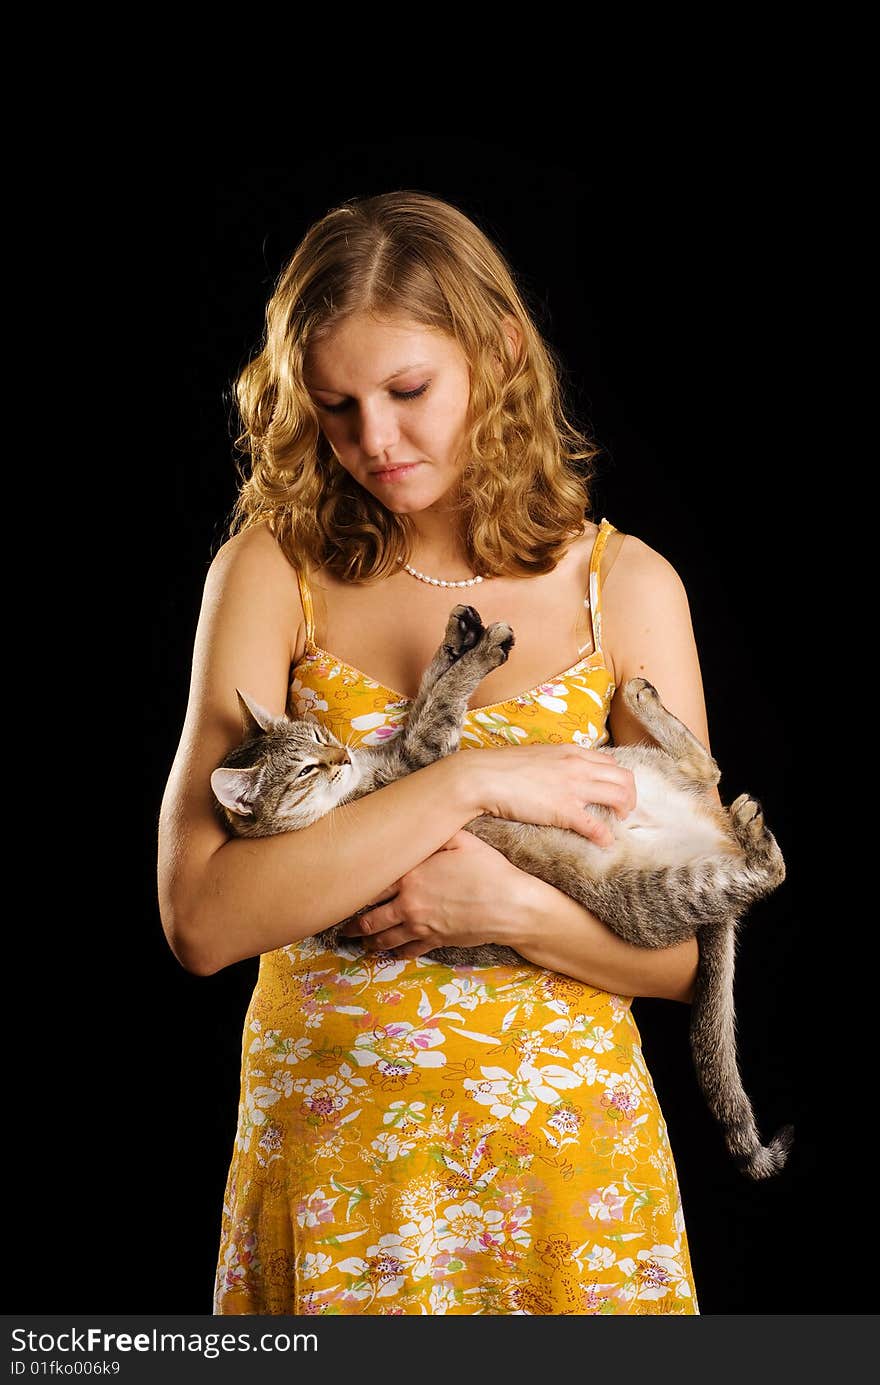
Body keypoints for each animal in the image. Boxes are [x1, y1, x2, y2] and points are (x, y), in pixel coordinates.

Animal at [212, 601, 792, 1174]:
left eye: (319, 739)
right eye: (306, 771)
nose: (341, 757)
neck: (353, 790)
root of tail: (714, 831)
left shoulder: (411, 747)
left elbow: (431, 688)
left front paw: (457, 636)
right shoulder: (423, 759)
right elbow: (443, 700)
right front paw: (481, 651)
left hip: (624, 762)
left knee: (706, 768)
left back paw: (649, 706)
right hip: (654, 896)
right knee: (761, 870)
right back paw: (753, 833)